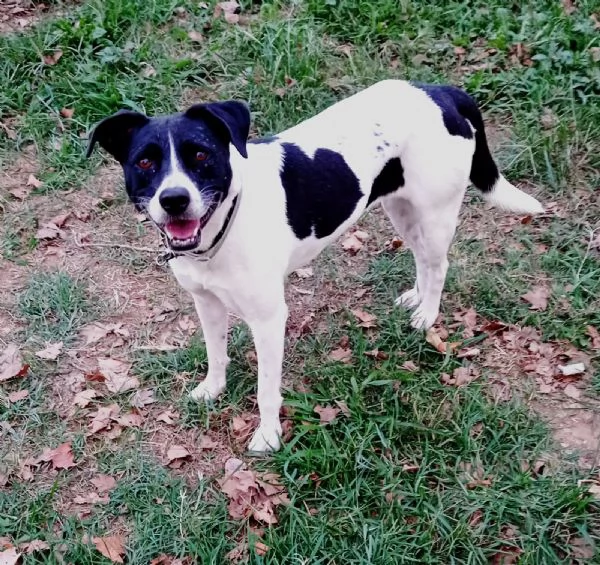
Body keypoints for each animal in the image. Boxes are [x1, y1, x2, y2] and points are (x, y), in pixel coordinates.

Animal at [88, 79, 544, 452]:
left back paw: (426, 316)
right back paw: (414, 298)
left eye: (200, 154)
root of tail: (442, 91)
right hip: (401, 208)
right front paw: (212, 390)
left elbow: (266, 388)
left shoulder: (269, 320)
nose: (174, 200)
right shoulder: (206, 302)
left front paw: (268, 436)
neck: (223, 226)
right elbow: (215, 354)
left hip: (435, 214)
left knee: (440, 264)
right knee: (420, 257)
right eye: (145, 162)